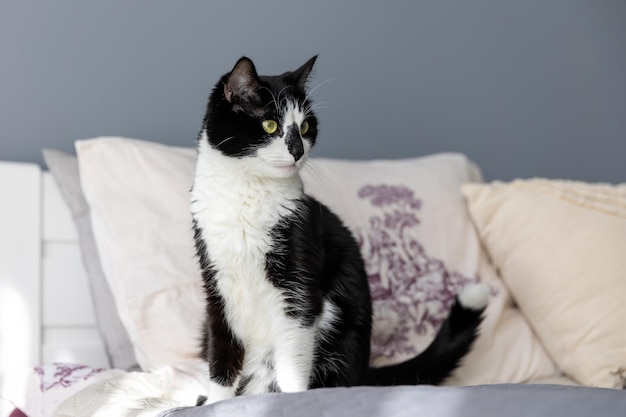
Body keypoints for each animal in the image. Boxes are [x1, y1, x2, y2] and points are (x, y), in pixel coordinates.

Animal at [190, 55, 488, 404]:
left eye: (305, 127)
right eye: (270, 125)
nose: (297, 151)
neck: (247, 196)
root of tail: (362, 375)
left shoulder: (299, 277)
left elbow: (292, 356)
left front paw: (292, 401)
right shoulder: (216, 283)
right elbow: (221, 353)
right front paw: (214, 403)